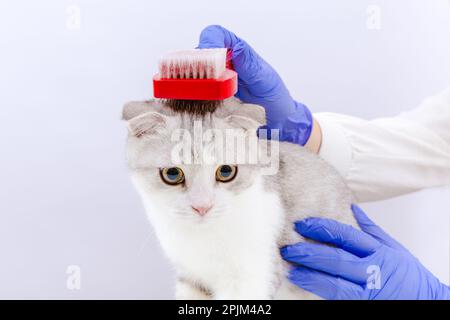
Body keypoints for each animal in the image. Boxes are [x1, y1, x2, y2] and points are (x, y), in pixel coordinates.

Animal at [121, 97, 356, 300]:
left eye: (226, 172)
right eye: (172, 174)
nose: (202, 206)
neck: (204, 236)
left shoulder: (255, 274)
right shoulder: (191, 276)